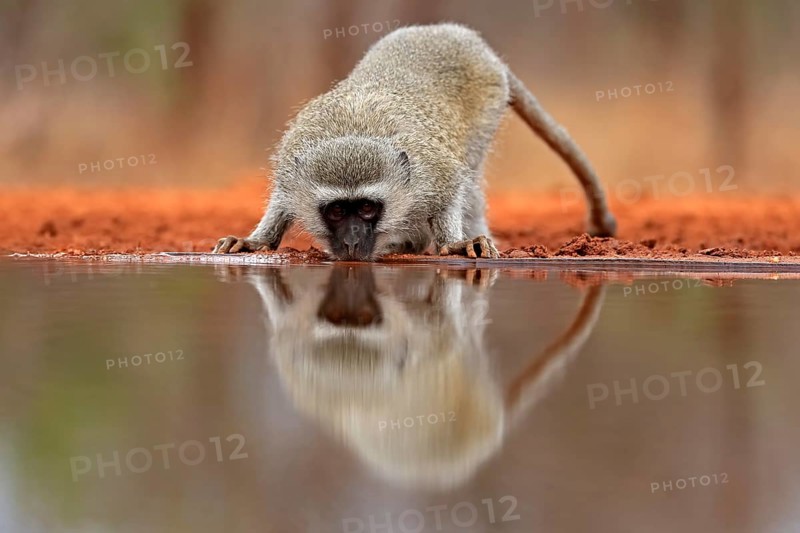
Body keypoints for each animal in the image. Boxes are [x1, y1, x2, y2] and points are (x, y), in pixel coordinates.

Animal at [213, 23, 617, 260]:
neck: (354, 130)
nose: (352, 243)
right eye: (337, 211)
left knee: (471, 175)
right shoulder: (291, 164)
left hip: (489, 104)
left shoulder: (432, 171)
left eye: (367, 209)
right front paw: (258, 240)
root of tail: (459, 35)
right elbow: (282, 201)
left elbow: (453, 188)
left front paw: (454, 242)